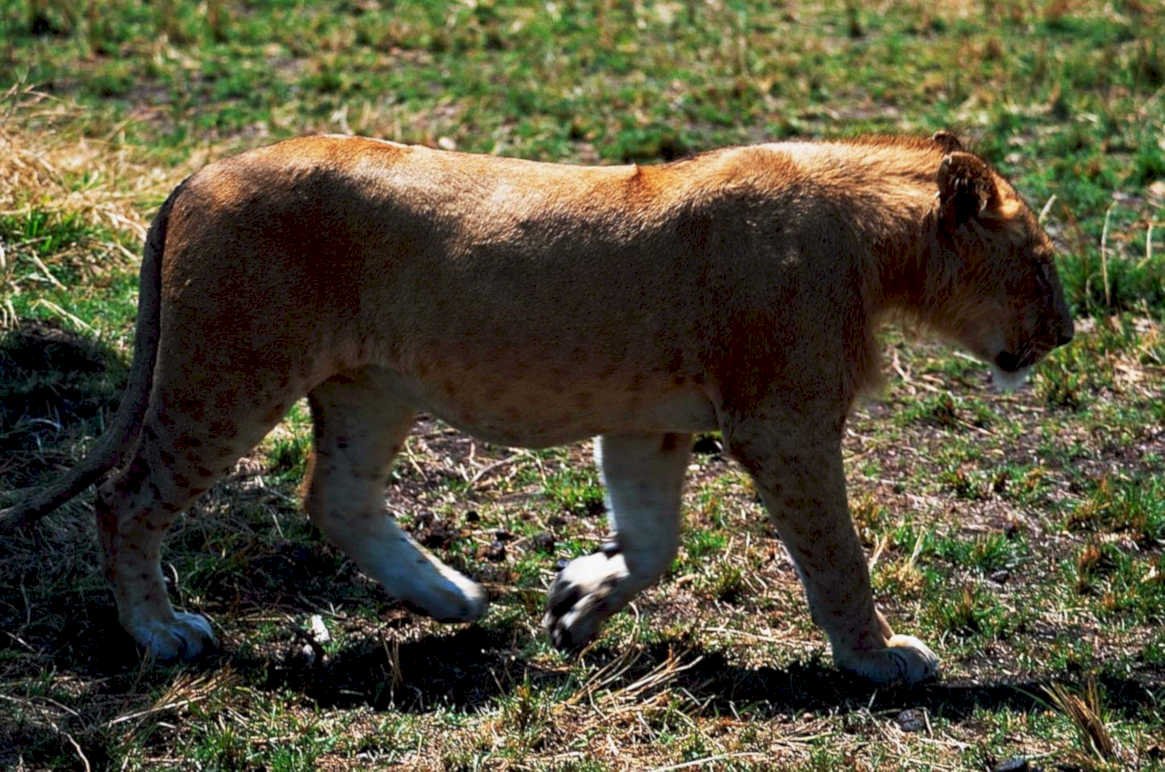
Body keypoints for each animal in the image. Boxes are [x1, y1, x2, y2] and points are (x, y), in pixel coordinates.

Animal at [0, 131, 1073, 685]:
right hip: (229, 372)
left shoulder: (649, 420)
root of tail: (201, 172)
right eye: (1040, 263)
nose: (1065, 333)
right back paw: (161, 634)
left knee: (335, 498)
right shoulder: (783, 420)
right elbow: (836, 557)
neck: (878, 243)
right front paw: (879, 658)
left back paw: (455, 599)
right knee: (128, 500)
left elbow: (653, 542)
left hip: (369, 386)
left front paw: (576, 603)